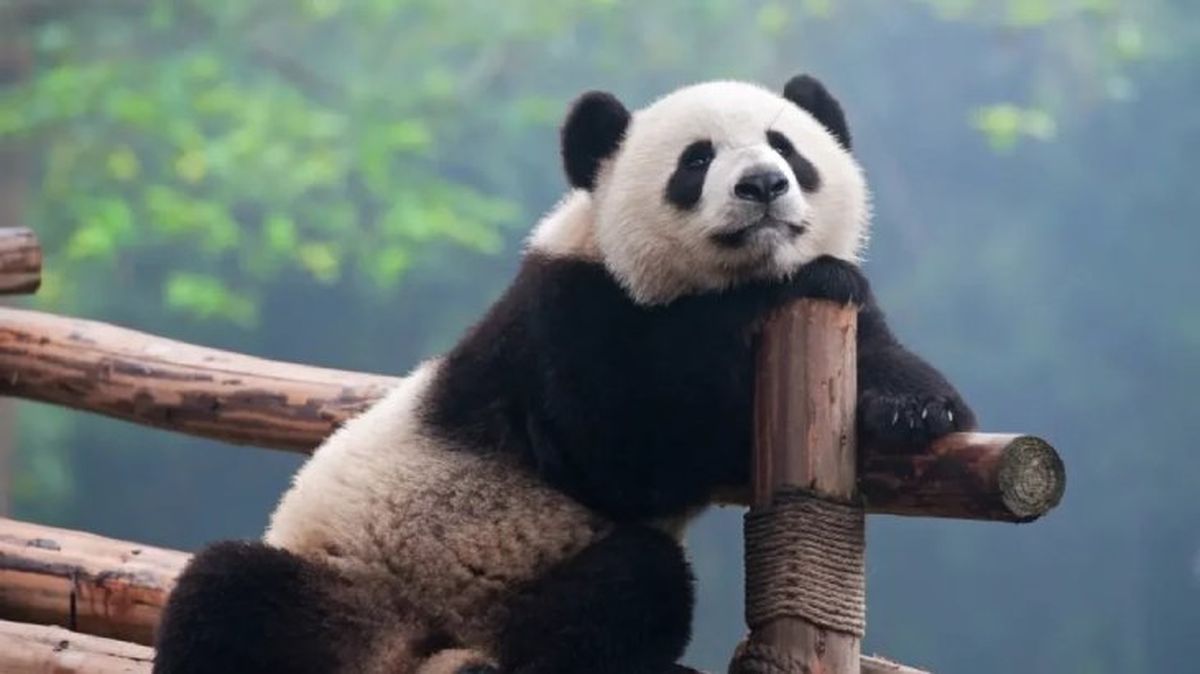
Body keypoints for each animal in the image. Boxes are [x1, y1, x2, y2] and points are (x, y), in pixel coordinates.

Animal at [153, 74, 975, 674]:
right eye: (697, 161)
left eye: (787, 146)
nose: (764, 186)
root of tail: (425, 650)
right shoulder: (570, 315)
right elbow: (625, 454)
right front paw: (780, 293)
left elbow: (879, 348)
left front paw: (913, 409)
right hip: (349, 584)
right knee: (230, 595)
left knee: (618, 598)